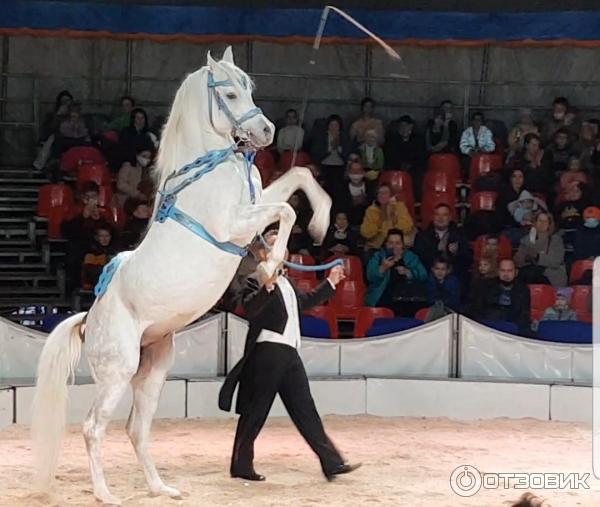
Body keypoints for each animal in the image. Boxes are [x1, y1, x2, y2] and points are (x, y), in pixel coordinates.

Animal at [31, 45, 332, 506]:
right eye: (229, 92)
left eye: (248, 87)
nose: (265, 131)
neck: (208, 172)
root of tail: (87, 320)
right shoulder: (234, 223)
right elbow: (286, 210)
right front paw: (269, 265)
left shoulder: (255, 203)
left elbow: (299, 179)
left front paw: (318, 225)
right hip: (117, 372)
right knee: (93, 427)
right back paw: (105, 493)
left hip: (153, 368)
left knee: (136, 429)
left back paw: (161, 487)